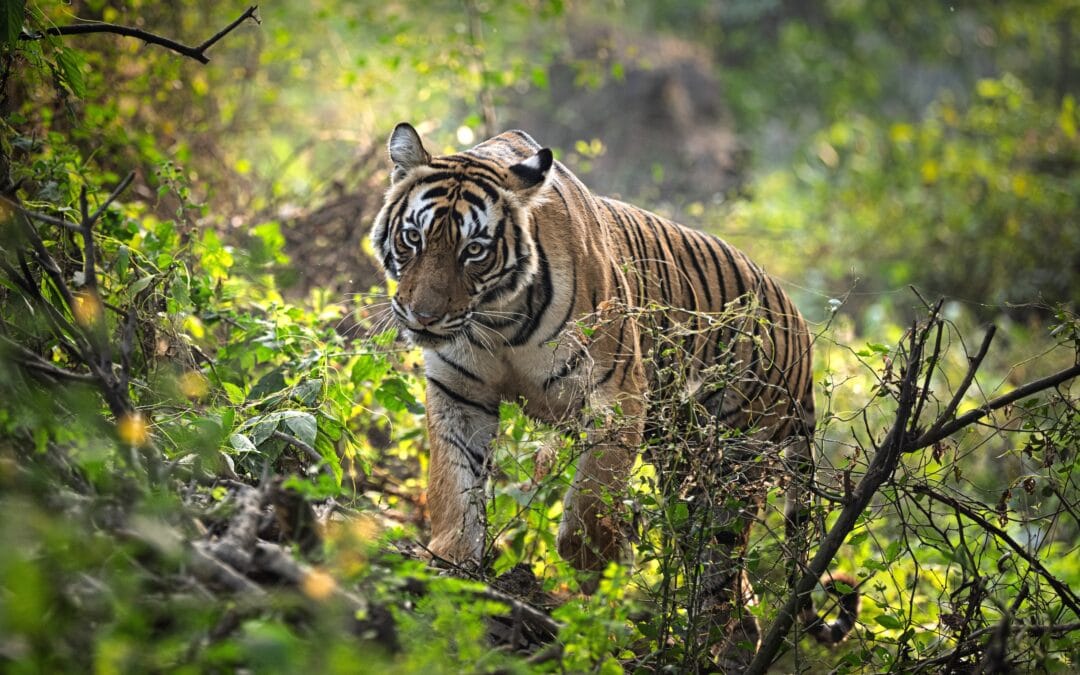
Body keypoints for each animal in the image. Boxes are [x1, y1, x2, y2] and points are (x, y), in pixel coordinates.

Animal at [370, 122, 860, 670]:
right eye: (413, 237)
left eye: (474, 250)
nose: (423, 317)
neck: (496, 319)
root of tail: (801, 328)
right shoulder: (458, 394)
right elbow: (453, 488)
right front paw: (452, 569)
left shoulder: (615, 395)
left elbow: (586, 506)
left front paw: (602, 570)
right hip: (684, 468)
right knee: (733, 587)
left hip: (733, 467)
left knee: (722, 568)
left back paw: (703, 651)